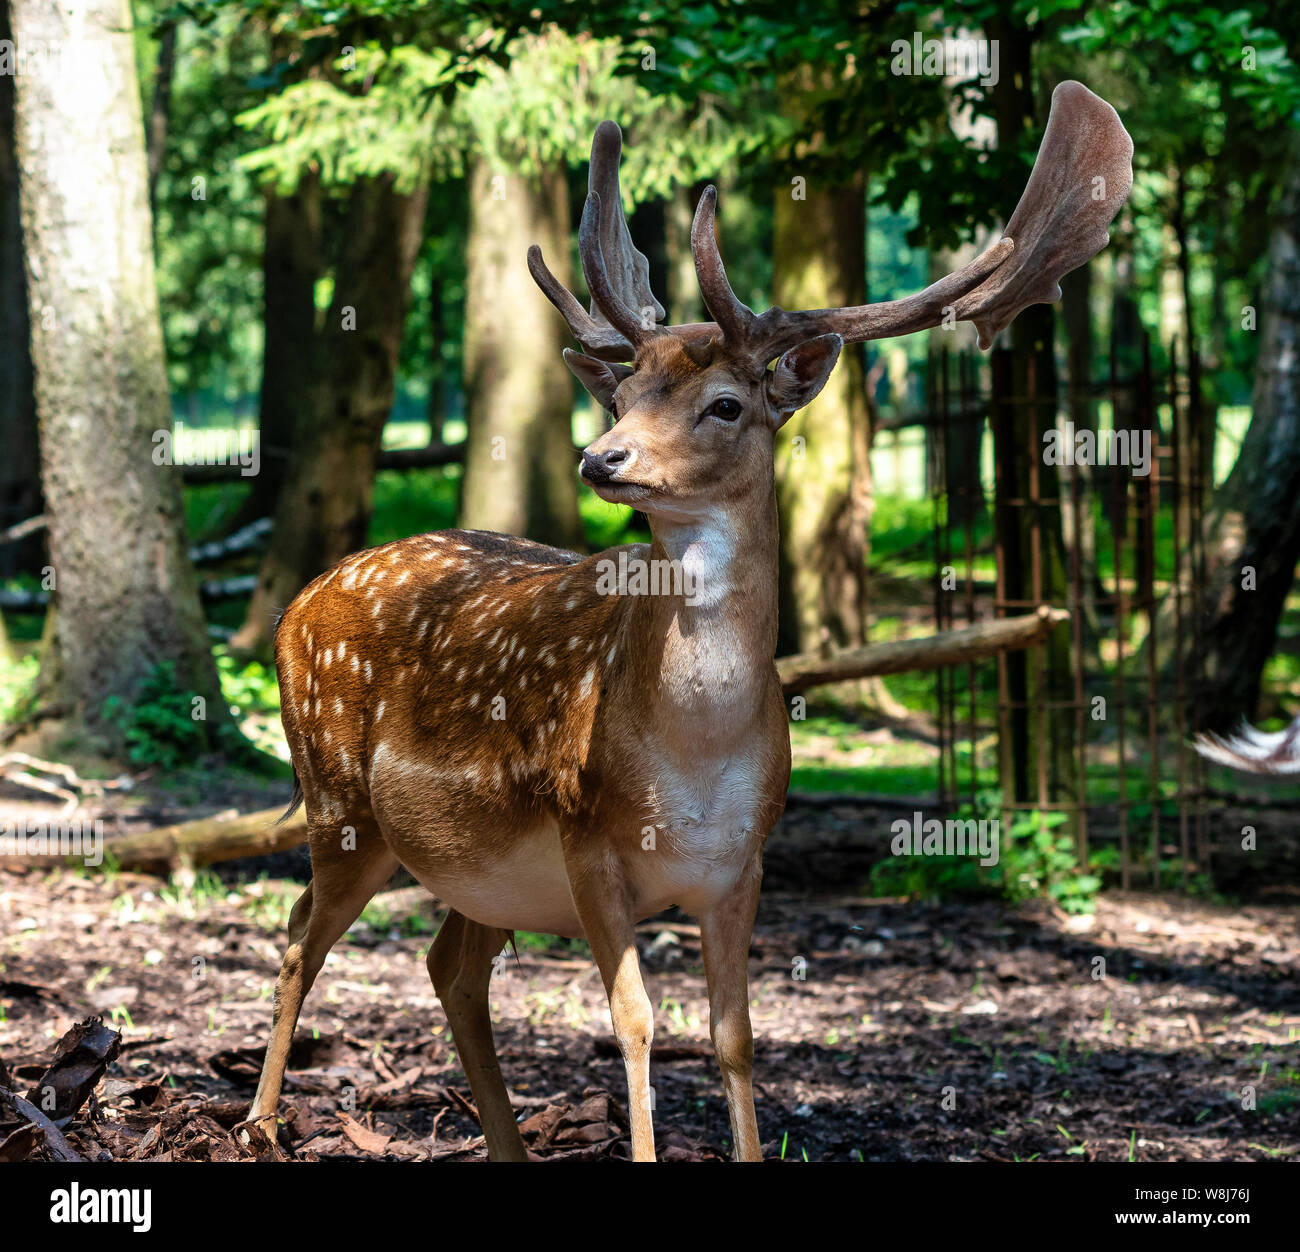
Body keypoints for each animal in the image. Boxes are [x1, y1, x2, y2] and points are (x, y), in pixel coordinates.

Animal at [241, 80, 1128, 1164]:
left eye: (726, 404)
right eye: (623, 390)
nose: (601, 456)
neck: (694, 761)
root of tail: (297, 602)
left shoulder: (743, 862)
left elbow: (734, 1034)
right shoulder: (586, 839)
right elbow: (635, 1023)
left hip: (479, 865)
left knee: (451, 962)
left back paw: (502, 1145)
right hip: (338, 797)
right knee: (297, 929)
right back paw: (258, 1123)